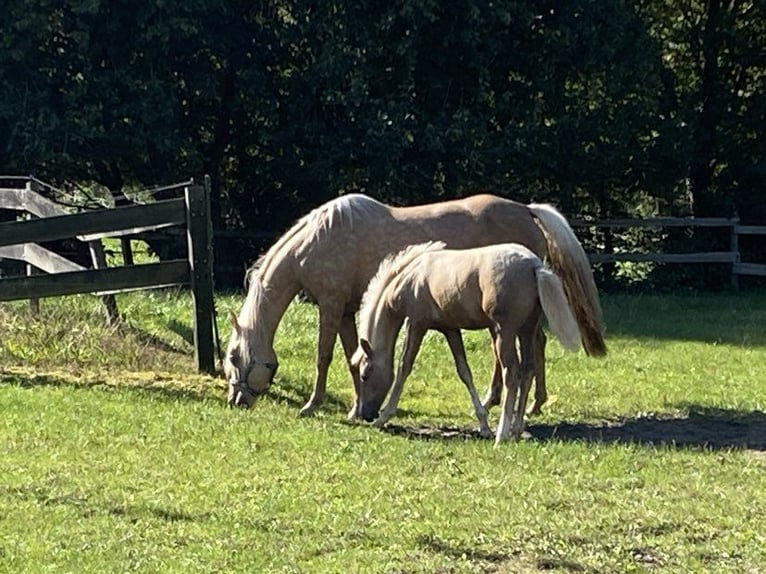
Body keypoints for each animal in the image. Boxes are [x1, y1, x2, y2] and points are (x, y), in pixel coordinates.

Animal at [224, 194, 608, 414]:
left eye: (233, 357)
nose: (236, 401)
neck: (318, 240)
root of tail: (527, 210)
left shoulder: (330, 306)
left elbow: (324, 356)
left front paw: (312, 405)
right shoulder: (347, 311)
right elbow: (352, 357)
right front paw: (357, 404)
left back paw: (518, 404)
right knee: (528, 347)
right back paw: (515, 403)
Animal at [352, 243, 584, 446]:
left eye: (365, 375)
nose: (366, 415)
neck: (412, 276)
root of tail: (534, 265)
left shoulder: (417, 324)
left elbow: (404, 367)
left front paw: (385, 416)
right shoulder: (450, 329)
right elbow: (464, 371)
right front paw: (483, 424)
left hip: (505, 332)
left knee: (512, 374)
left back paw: (502, 434)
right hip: (526, 330)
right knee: (527, 370)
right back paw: (517, 429)